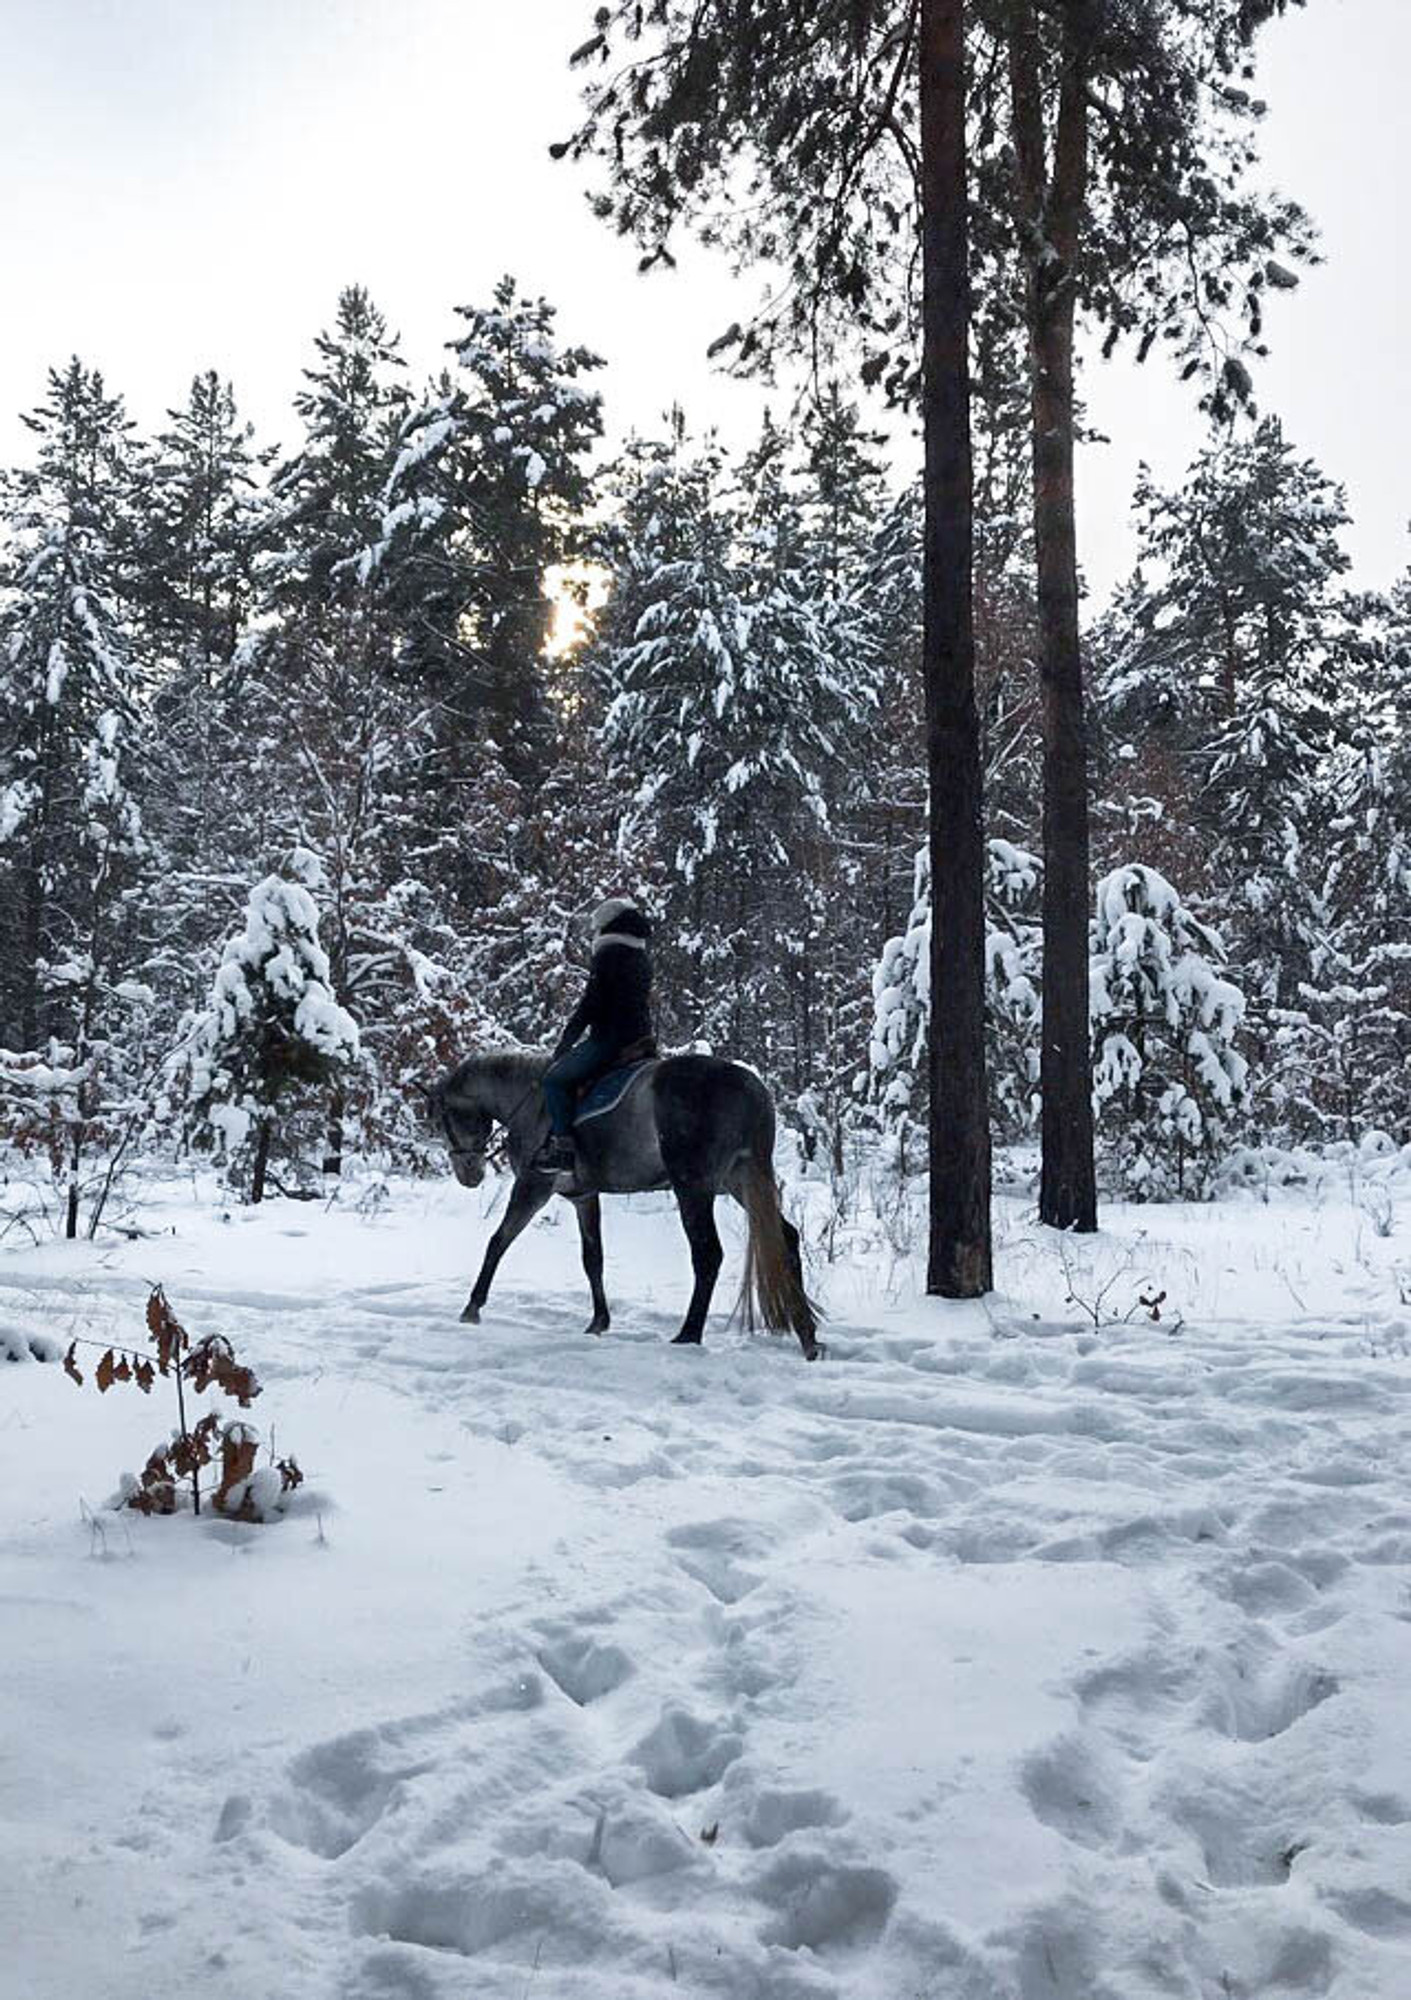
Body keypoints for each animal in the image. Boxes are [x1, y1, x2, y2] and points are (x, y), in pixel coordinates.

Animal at [427, 1048, 819, 1360]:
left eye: (443, 1118)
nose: (469, 1174)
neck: (532, 1104)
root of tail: (749, 1086)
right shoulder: (584, 1197)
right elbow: (593, 1258)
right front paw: (599, 1322)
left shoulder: (533, 1186)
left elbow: (498, 1242)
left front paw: (472, 1307)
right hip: (740, 1181)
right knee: (787, 1237)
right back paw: (807, 1334)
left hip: (693, 1189)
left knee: (708, 1255)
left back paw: (689, 1334)